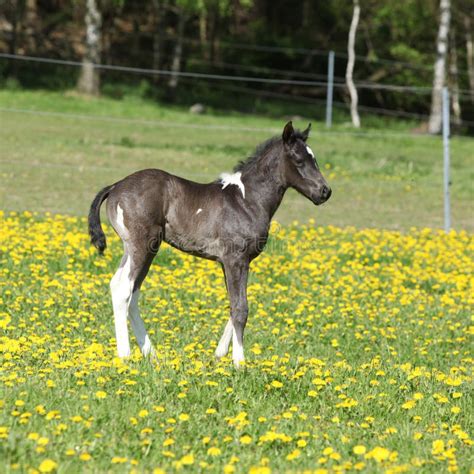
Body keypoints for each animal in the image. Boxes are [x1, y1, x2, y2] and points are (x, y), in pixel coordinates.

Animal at [90, 122, 332, 366]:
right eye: (299, 160)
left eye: (314, 159)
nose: (325, 192)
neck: (246, 200)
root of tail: (115, 186)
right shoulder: (236, 260)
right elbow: (240, 308)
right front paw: (239, 362)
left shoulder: (230, 262)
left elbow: (233, 304)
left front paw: (220, 353)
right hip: (143, 246)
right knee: (124, 290)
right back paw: (125, 355)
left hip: (136, 249)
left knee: (125, 289)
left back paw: (152, 354)